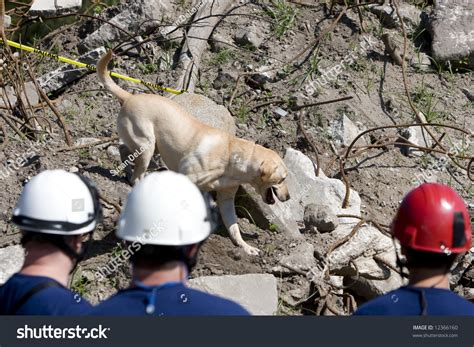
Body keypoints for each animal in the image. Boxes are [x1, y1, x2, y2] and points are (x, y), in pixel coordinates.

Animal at [96, 50, 288, 254]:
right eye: (282, 179)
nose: (289, 197)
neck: (233, 159)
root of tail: (130, 97)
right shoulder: (186, 177)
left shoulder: (226, 199)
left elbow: (233, 227)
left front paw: (246, 247)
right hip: (147, 145)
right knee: (136, 174)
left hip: (151, 147)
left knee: (124, 150)